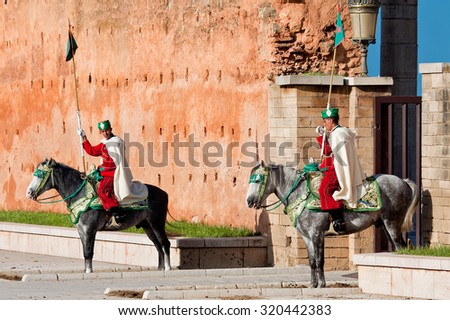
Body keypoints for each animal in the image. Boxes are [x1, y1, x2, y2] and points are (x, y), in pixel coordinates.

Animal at [25, 158, 171, 272]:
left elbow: (89, 251)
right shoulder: (81, 231)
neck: (81, 193)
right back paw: (160, 268)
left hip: (157, 223)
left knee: (165, 243)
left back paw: (168, 268)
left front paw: (89, 271)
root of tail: (164, 193)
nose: (29, 193)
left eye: (41, 174)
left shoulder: (90, 230)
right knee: (158, 246)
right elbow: (85, 252)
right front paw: (86, 270)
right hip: (147, 226)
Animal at [246, 161, 418, 288]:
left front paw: (321, 284)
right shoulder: (306, 236)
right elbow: (312, 261)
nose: (249, 201)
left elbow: (319, 260)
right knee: (399, 248)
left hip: (391, 223)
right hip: (385, 225)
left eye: (258, 180)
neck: (301, 194)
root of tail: (403, 182)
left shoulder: (317, 234)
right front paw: (312, 284)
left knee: (400, 247)